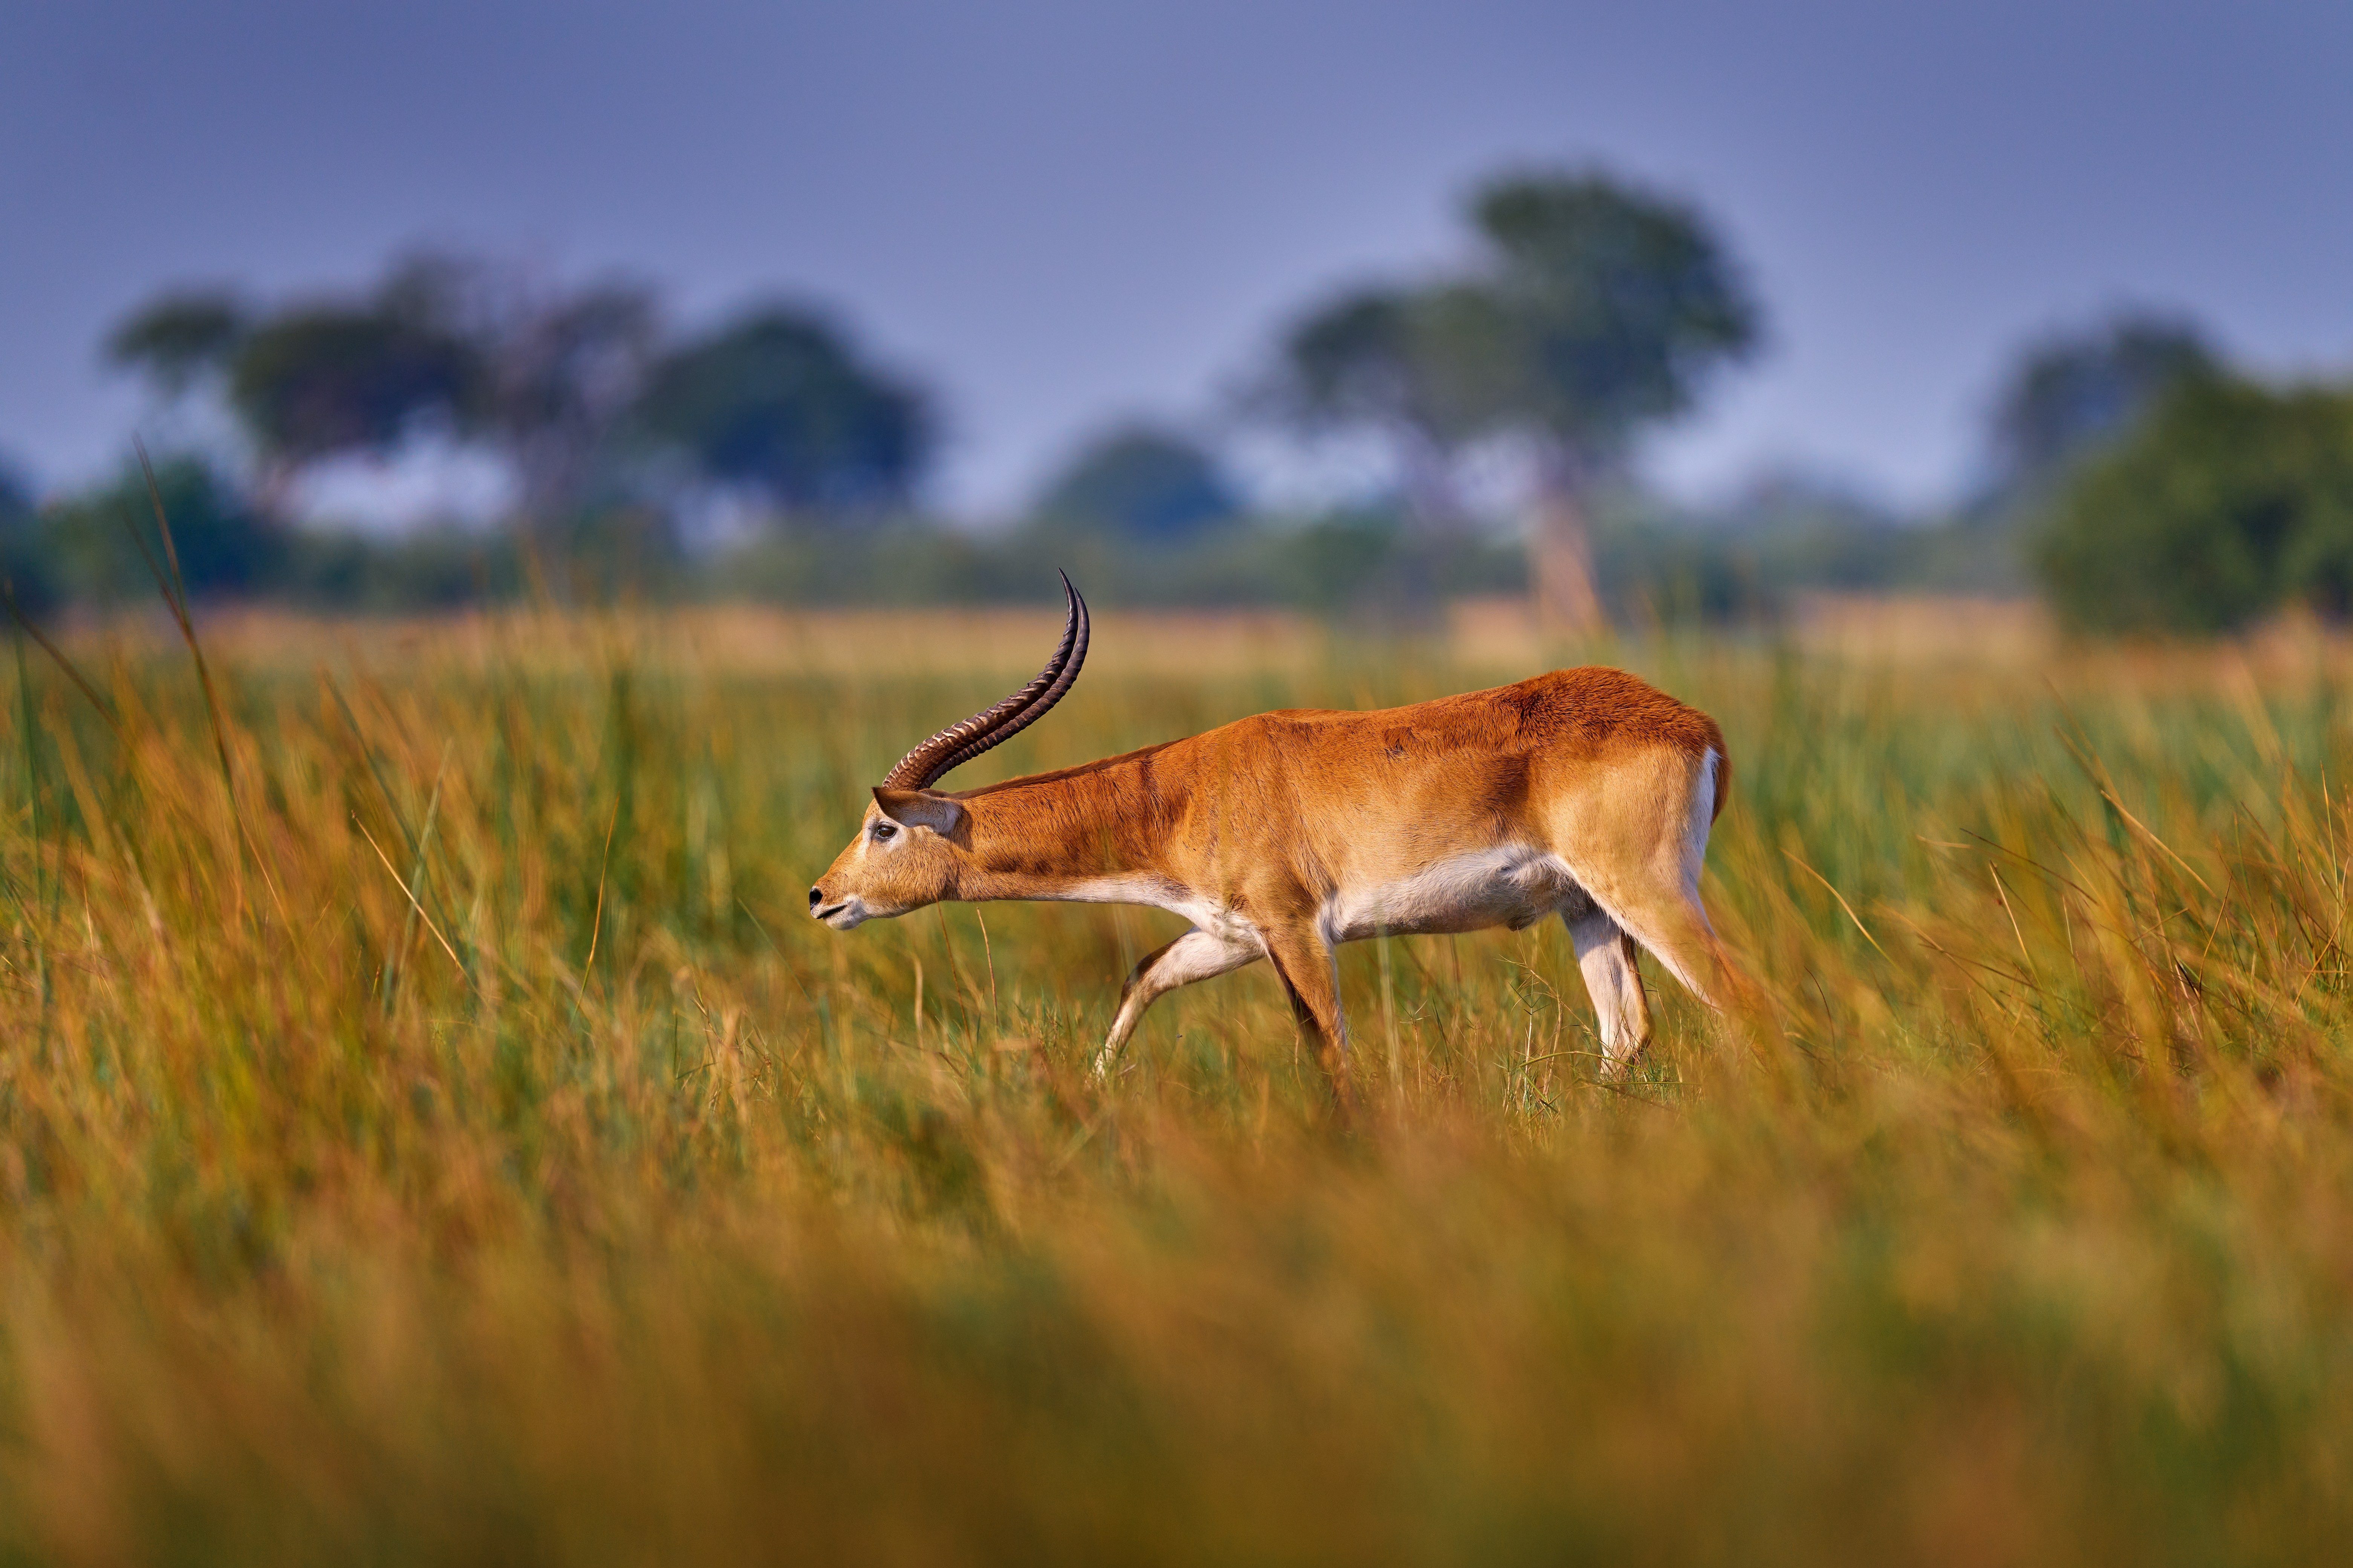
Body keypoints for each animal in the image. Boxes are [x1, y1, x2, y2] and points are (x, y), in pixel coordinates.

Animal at [810, 576, 1749, 1105]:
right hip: (1583, 908)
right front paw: (1094, 1096)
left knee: (1740, 1001)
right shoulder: (1230, 934)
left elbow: (1329, 1052)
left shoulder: (1296, 928)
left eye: (881, 826)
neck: (1182, 794)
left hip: (1645, 893)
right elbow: (1143, 975)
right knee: (1625, 1032)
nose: (821, 895)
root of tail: (1695, 723)